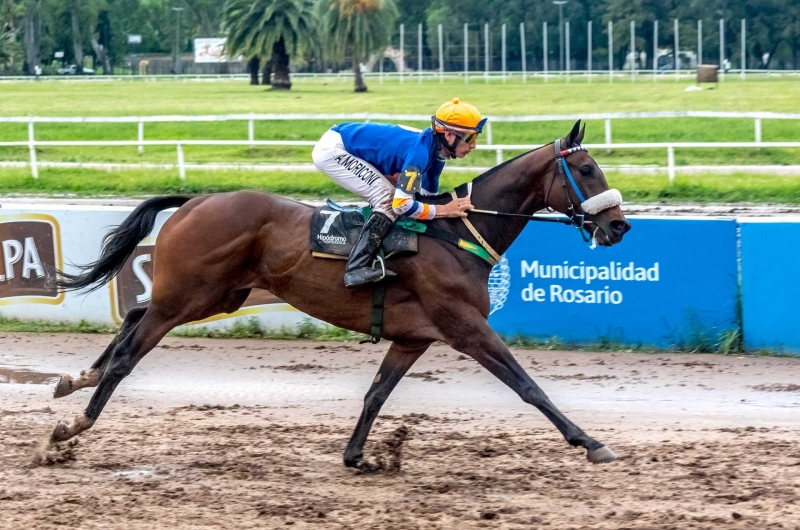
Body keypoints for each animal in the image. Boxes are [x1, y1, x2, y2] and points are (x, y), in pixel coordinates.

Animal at [50, 119, 632, 466]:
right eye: (586, 168)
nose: (619, 226)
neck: (458, 237)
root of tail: (195, 201)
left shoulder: (413, 338)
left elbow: (376, 394)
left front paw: (358, 455)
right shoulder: (467, 328)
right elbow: (528, 387)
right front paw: (591, 443)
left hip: (215, 295)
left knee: (134, 315)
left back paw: (77, 378)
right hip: (190, 295)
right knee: (130, 351)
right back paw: (75, 423)